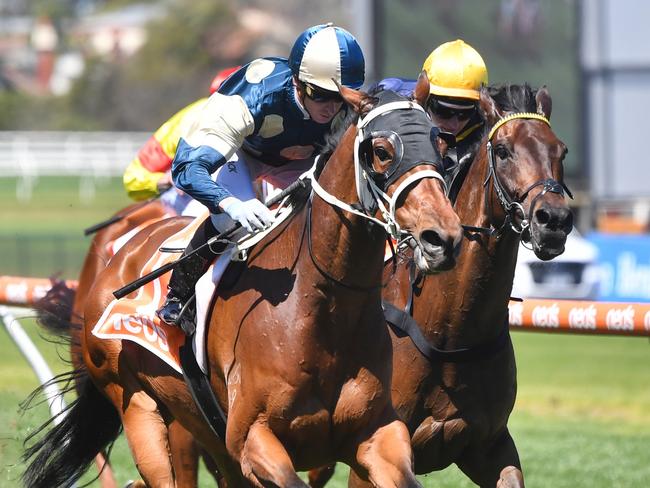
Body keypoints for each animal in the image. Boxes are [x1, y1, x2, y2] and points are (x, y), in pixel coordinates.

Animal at [24, 78, 460, 486]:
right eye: (382, 151)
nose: (442, 238)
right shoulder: (253, 438)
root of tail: (119, 258)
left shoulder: (378, 434)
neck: (321, 311)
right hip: (137, 407)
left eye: (440, 147)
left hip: (203, 426)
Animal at [312, 84, 568, 488]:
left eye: (561, 150)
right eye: (503, 150)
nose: (554, 219)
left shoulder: (490, 445)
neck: (452, 330)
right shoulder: (373, 451)